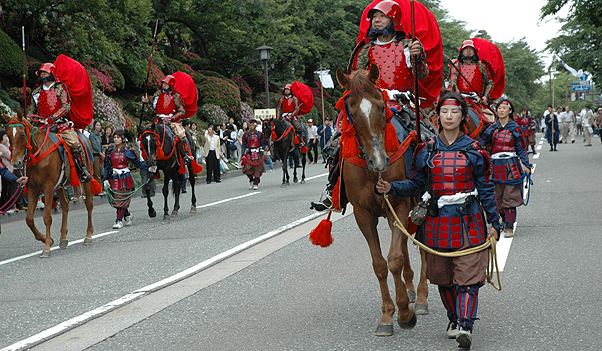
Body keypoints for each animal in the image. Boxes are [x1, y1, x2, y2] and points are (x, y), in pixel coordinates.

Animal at [4, 116, 94, 258]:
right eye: (7, 135)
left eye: (22, 134)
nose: (16, 163)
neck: (38, 154)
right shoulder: (33, 188)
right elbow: (29, 219)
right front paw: (48, 240)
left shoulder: (48, 187)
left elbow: (47, 217)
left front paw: (46, 247)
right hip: (60, 185)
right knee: (65, 206)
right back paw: (63, 239)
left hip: (86, 178)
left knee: (89, 204)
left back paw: (88, 236)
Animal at [338, 66, 426, 338]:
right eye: (352, 112)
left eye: (379, 105)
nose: (379, 161)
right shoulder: (363, 213)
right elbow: (379, 264)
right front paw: (387, 314)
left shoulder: (399, 204)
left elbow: (394, 259)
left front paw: (405, 313)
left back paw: (420, 298)